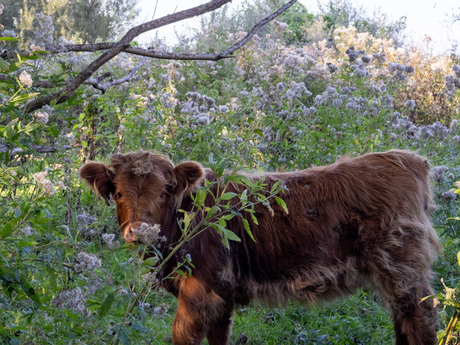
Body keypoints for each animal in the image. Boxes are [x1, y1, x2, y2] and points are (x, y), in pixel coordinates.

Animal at [81, 149, 440, 342]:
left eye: (164, 192)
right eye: (119, 192)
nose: (140, 231)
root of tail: (406, 159)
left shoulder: (199, 291)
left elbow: (184, 335)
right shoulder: (221, 293)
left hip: (402, 268)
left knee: (421, 319)